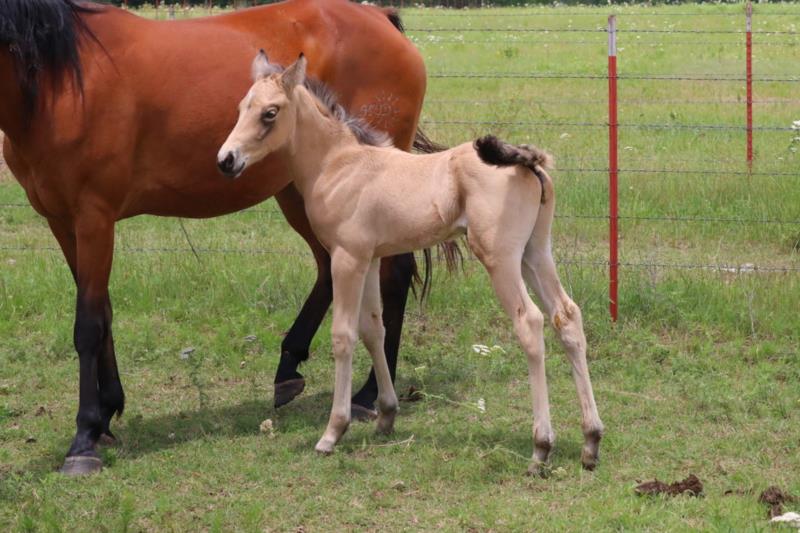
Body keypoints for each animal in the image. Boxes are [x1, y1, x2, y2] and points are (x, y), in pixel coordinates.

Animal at [0, 0, 430, 475]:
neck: (58, 81)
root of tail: (380, 18)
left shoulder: (93, 216)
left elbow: (89, 325)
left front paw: (84, 438)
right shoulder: (62, 222)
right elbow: (103, 312)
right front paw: (108, 412)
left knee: (392, 275)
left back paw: (369, 395)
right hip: (298, 191)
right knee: (327, 270)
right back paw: (289, 369)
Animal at [218, 54, 605, 474]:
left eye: (270, 113)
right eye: (241, 108)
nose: (226, 160)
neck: (339, 165)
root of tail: (526, 160)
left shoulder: (347, 258)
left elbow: (343, 336)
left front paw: (333, 432)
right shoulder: (371, 259)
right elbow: (374, 329)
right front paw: (385, 414)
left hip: (500, 258)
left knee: (530, 323)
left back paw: (541, 447)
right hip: (535, 253)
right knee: (567, 317)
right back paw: (590, 441)